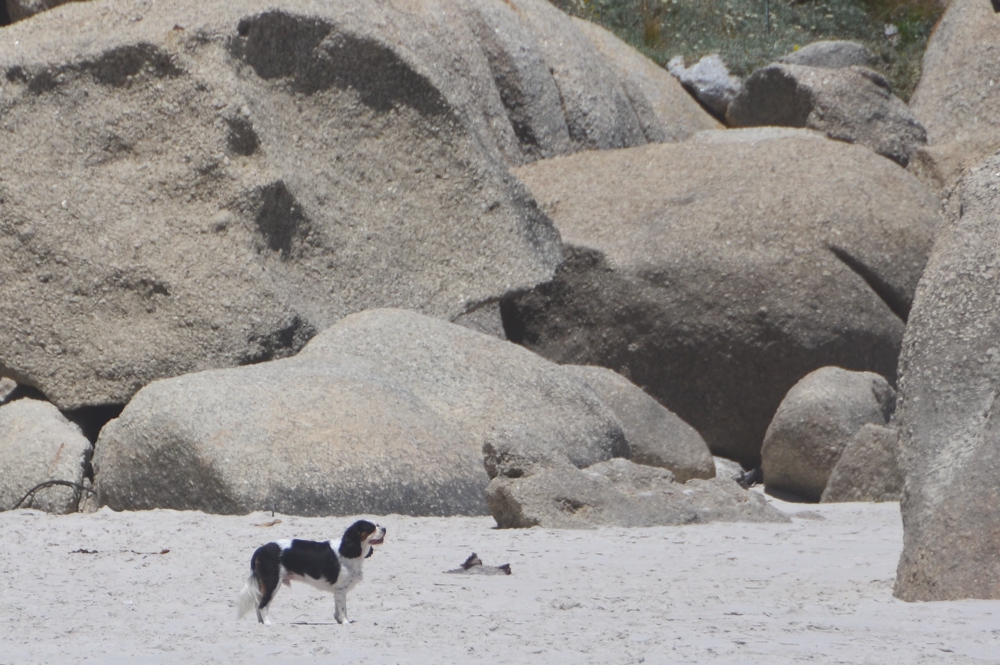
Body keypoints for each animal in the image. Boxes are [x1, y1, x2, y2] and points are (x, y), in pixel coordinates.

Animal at [237, 520, 386, 624]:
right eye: (371, 528)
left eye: (378, 525)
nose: (384, 528)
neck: (347, 550)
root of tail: (261, 549)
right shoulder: (340, 590)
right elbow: (343, 609)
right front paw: (345, 623)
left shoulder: (338, 591)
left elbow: (339, 609)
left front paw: (340, 621)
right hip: (272, 582)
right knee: (263, 605)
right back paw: (268, 623)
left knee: (258, 604)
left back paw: (261, 623)